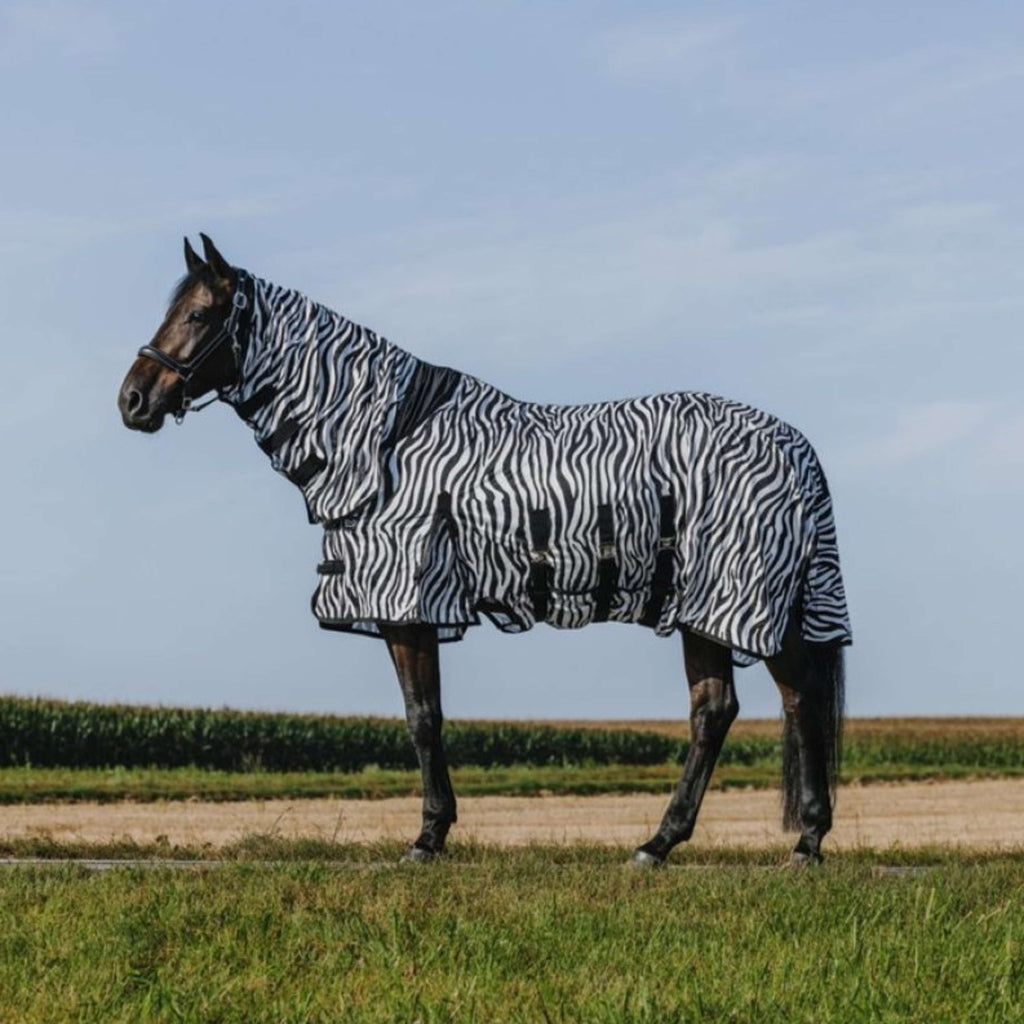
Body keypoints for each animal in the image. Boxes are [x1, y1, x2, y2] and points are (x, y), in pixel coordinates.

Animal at [118, 234, 851, 867]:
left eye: (200, 313)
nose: (133, 400)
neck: (386, 440)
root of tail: (795, 445)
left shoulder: (409, 605)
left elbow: (423, 719)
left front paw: (427, 837)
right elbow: (428, 716)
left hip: (739, 600)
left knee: (792, 702)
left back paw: (798, 843)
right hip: (708, 608)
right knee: (720, 710)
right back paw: (666, 843)